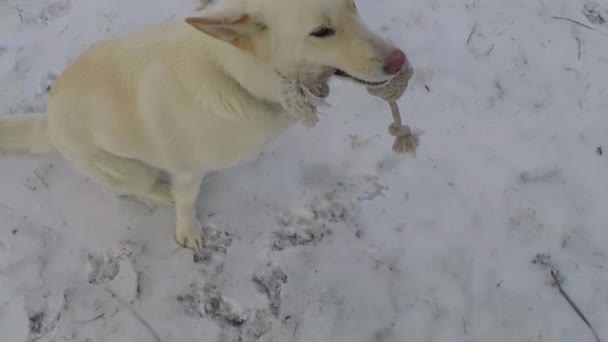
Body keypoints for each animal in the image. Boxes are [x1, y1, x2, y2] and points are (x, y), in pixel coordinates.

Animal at [1, 0, 408, 248]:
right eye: (321, 32)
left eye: (353, 6)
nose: (400, 60)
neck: (235, 73)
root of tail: (47, 121)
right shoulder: (186, 170)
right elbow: (187, 202)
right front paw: (188, 231)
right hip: (128, 171)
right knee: (129, 188)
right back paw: (159, 193)